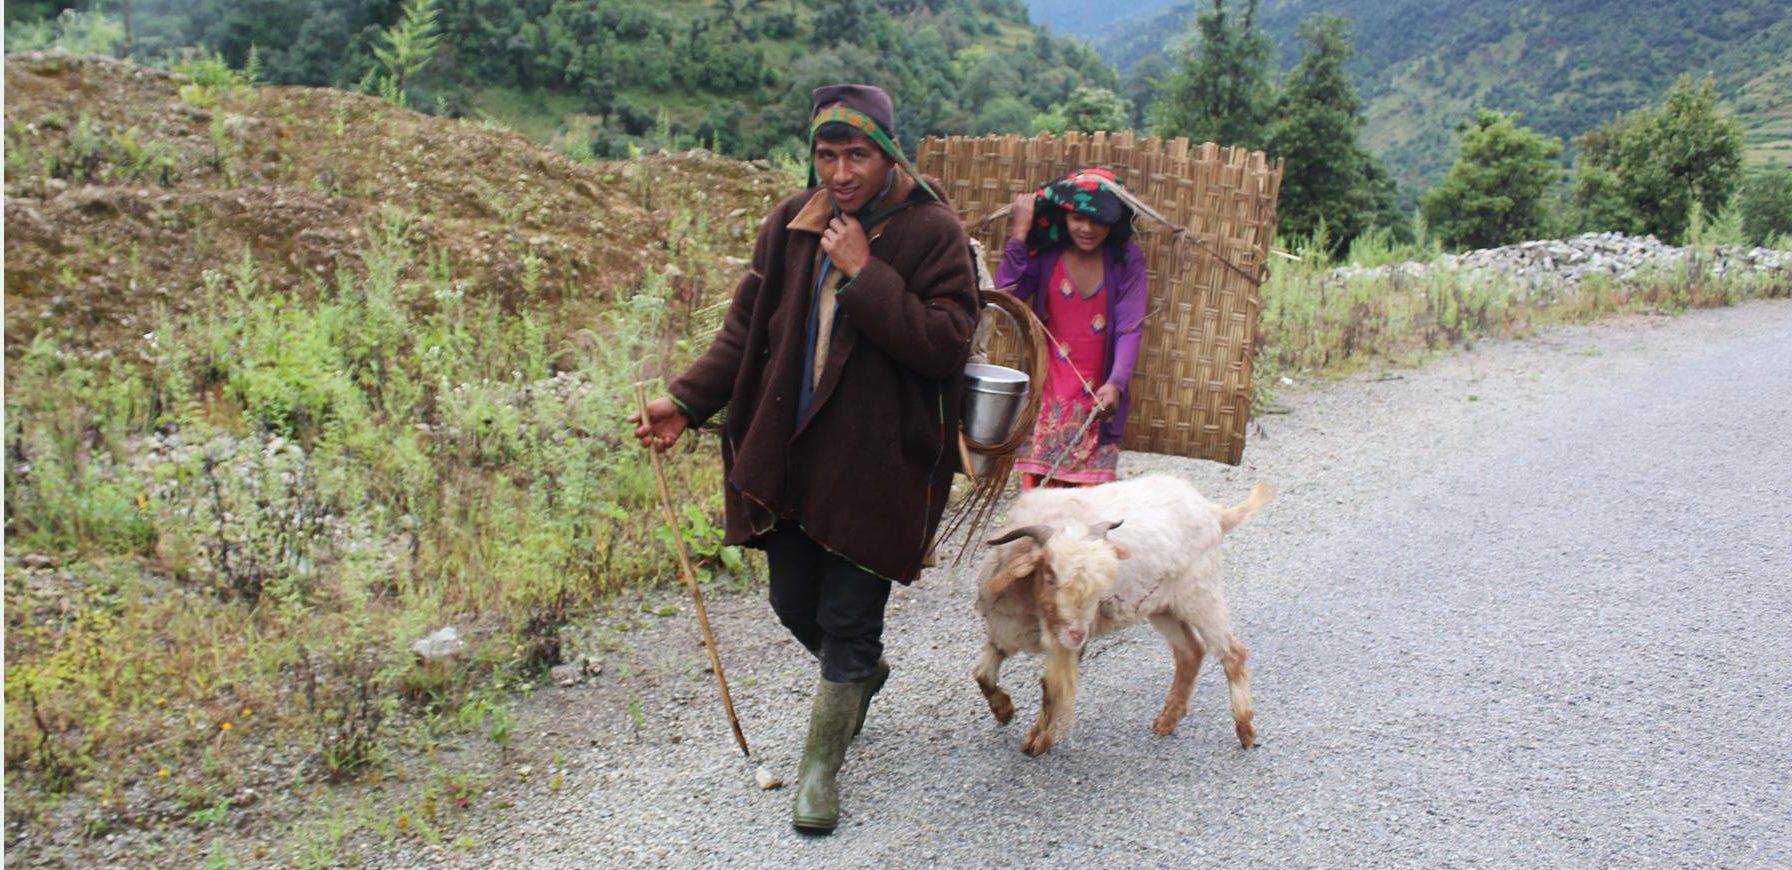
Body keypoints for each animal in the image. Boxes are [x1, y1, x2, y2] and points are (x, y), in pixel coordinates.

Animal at [967, 473, 1275, 753]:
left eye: (1100, 584)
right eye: (1050, 575)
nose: (1078, 635)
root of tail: (1214, 512)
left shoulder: (1063, 648)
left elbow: (1052, 688)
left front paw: (1037, 740)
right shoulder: (1003, 633)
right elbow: (982, 673)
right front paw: (1004, 710)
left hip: (1201, 595)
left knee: (1233, 653)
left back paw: (1245, 731)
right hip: (1162, 606)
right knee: (1191, 651)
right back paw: (1167, 721)